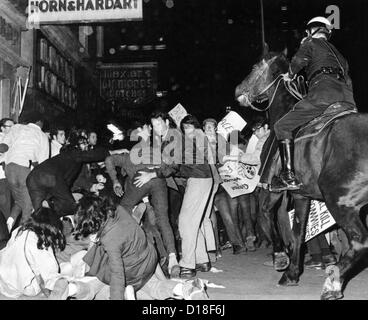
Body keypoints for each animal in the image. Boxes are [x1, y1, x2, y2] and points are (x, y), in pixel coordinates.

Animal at [236, 50, 368, 300]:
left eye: (255, 66)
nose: (238, 90)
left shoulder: (271, 190)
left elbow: (267, 217)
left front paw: (281, 259)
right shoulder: (301, 195)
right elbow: (298, 231)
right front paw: (292, 274)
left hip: (339, 201)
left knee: (359, 242)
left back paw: (332, 285)